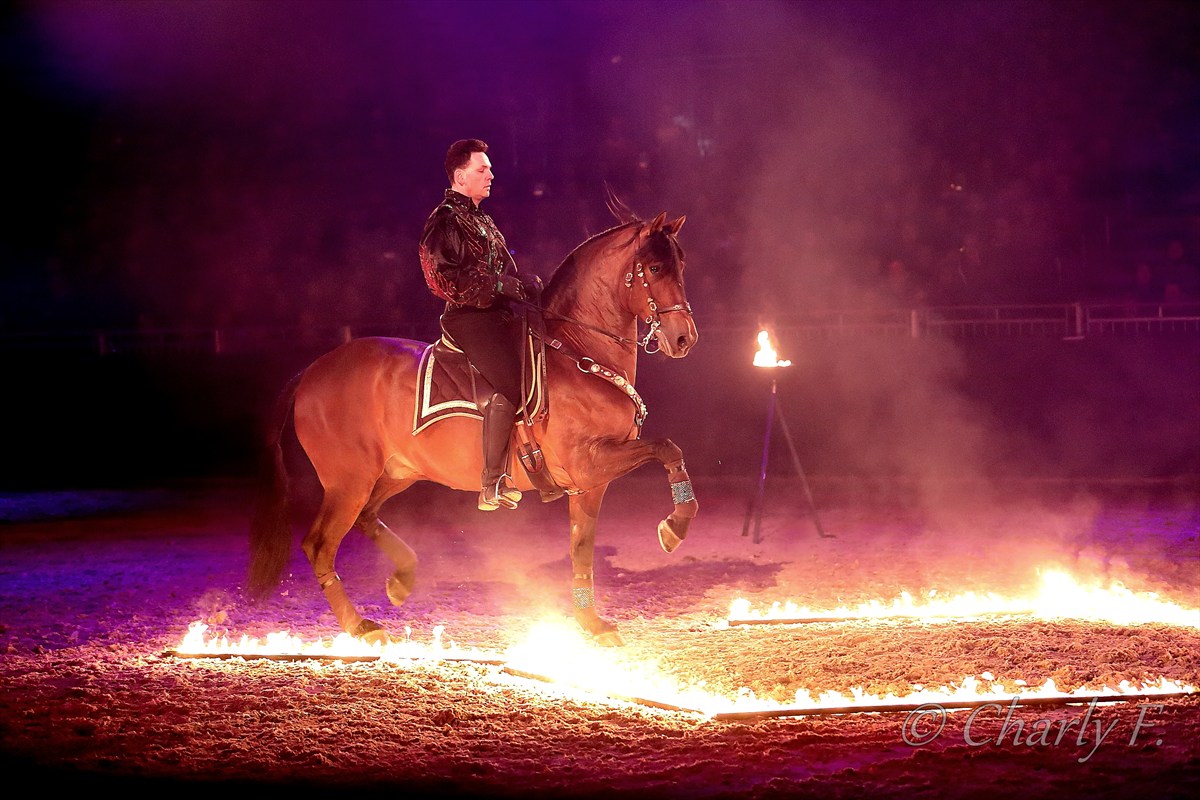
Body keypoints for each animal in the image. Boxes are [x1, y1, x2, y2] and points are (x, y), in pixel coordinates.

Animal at [248, 203, 700, 647]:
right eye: (655, 268)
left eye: (681, 265)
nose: (684, 340)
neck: (578, 352)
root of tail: (311, 372)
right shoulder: (589, 462)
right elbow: (667, 447)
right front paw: (674, 528)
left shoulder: (590, 481)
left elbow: (582, 546)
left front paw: (592, 623)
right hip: (349, 482)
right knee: (320, 545)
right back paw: (361, 627)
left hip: (397, 472)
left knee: (365, 518)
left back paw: (402, 579)